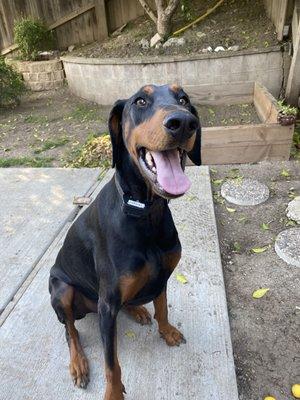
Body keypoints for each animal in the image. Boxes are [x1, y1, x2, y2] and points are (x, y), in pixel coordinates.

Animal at [49, 83, 200, 398]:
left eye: (183, 99)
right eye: (140, 101)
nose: (183, 122)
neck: (145, 212)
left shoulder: (162, 276)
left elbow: (163, 308)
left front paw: (167, 331)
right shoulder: (107, 305)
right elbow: (112, 363)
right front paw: (114, 392)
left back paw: (137, 310)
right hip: (61, 289)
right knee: (70, 331)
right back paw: (78, 363)